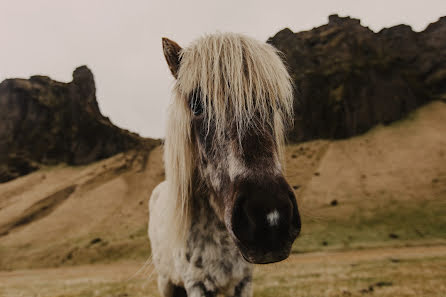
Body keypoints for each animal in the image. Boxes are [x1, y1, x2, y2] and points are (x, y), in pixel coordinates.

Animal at [149, 33, 300, 296]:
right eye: (196, 105)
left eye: (273, 105)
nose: (271, 218)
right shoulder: (196, 283)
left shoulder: (243, 282)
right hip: (166, 282)